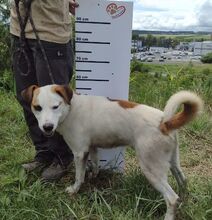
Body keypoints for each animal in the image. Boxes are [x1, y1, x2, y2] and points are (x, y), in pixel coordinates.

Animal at [22, 84, 203, 220]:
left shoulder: (79, 152)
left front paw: (75, 189)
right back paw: (185, 201)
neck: (70, 108)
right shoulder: (91, 148)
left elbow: (79, 176)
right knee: (183, 181)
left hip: (151, 168)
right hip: (173, 161)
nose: (47, 127)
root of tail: (165, 122)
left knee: (171, 199)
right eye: (37, 107)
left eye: (55, 106)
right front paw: (94, 176)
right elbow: (95, 164)